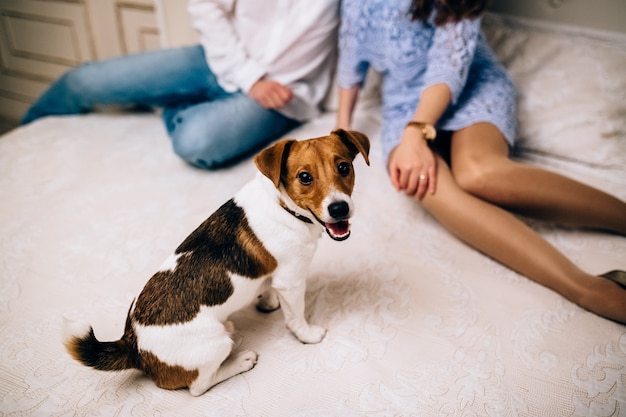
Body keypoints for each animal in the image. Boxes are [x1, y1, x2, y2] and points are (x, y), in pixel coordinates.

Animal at [64, 128, 366, 394]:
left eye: (343, 167)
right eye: (304, 177)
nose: (339, 208)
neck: (282, 205)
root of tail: (134, 344)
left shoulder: (276, 277)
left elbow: (268, 288)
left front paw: (267, 301)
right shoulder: (291, 281)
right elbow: (295, 319)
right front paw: (308, 335)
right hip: (215, 345)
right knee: (199, 386)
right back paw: (240, 362)